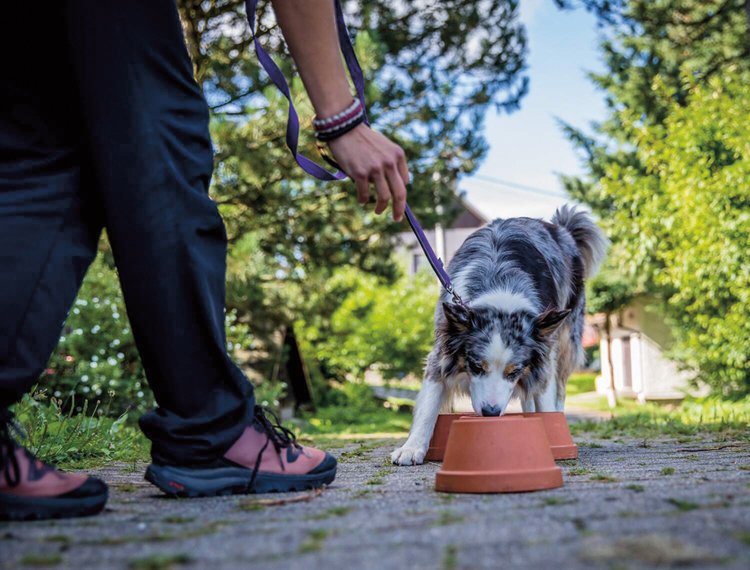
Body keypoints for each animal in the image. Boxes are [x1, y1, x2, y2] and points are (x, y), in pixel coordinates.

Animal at [394, 206, 612, 464]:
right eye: (476, 367)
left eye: (513, 372)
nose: (491, 413)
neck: (500, 288)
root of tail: (561, 227)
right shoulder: (442, 348)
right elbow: (429, 403)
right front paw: (412, 447)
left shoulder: (543, 356)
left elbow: (544, 397)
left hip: (567, 337)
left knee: (557, 388)